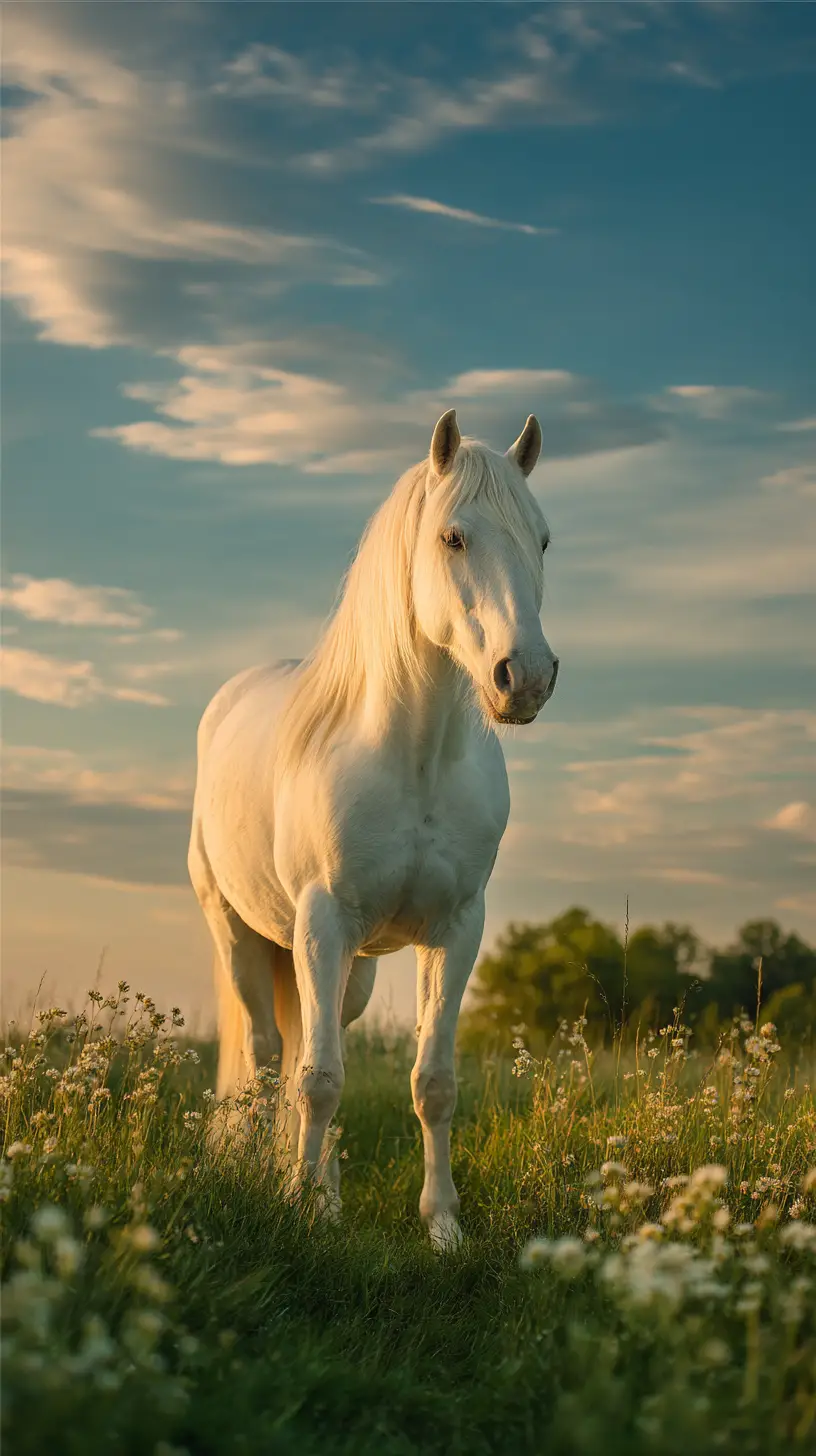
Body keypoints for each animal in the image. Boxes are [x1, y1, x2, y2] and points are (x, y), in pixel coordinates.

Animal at [189, 408, 559, 1249]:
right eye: (453, 537)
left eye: (543, 539)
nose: (525, 678)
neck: (413, 759)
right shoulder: (323, 920)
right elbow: (317, 1082)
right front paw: (295, 1215)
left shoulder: (455, 930)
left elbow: (433, 1082)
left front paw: (444, 1225)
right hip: (242, 934)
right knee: (269, 1058)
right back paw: (275, 1184)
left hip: (347, 967)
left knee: (308, 1042)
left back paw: (320, 1193)